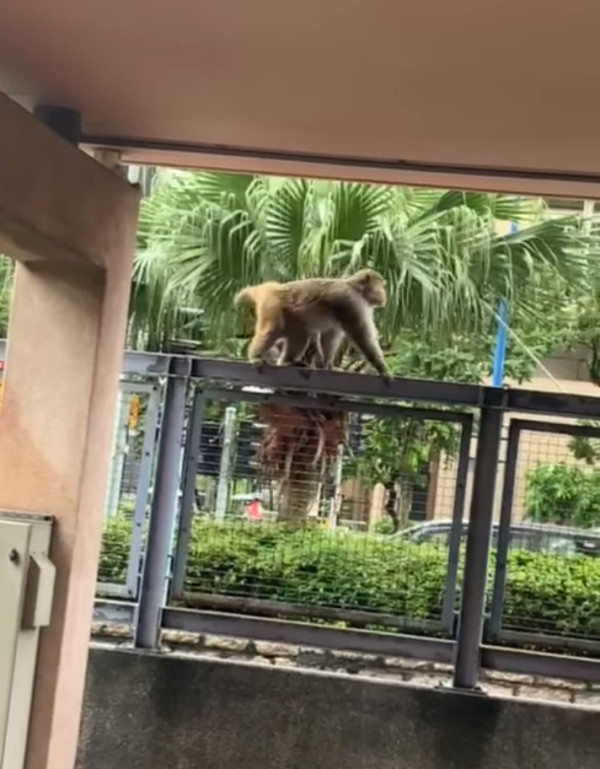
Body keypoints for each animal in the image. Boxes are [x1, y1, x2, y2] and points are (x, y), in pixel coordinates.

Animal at [234, 270, 390, 378]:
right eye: (380, 285)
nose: (384, 294)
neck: (356, 289)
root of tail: (271, 288)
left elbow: (331, 335)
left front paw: (327, 365)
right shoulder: (352, 304)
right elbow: (362, 337)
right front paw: (382, 369)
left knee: (300, 334)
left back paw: (288, 361)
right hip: (272, 306)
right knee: (272, 329)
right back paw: (256, 356)